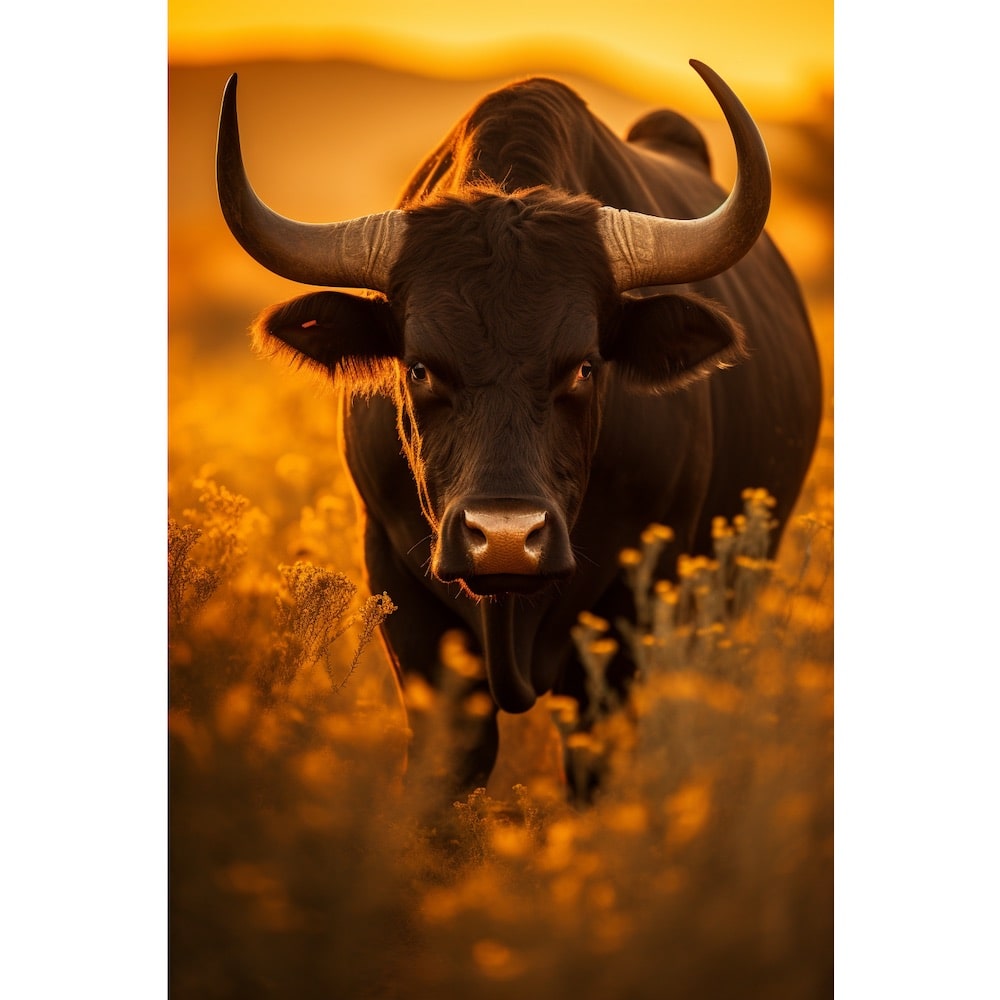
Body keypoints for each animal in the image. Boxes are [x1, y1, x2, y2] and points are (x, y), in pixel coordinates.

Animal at [216, 61, 822, 792]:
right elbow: (452, 762)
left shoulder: (627, 613)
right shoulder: (399, 592)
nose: (504, 540)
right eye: (420, 367)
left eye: (584, 366)